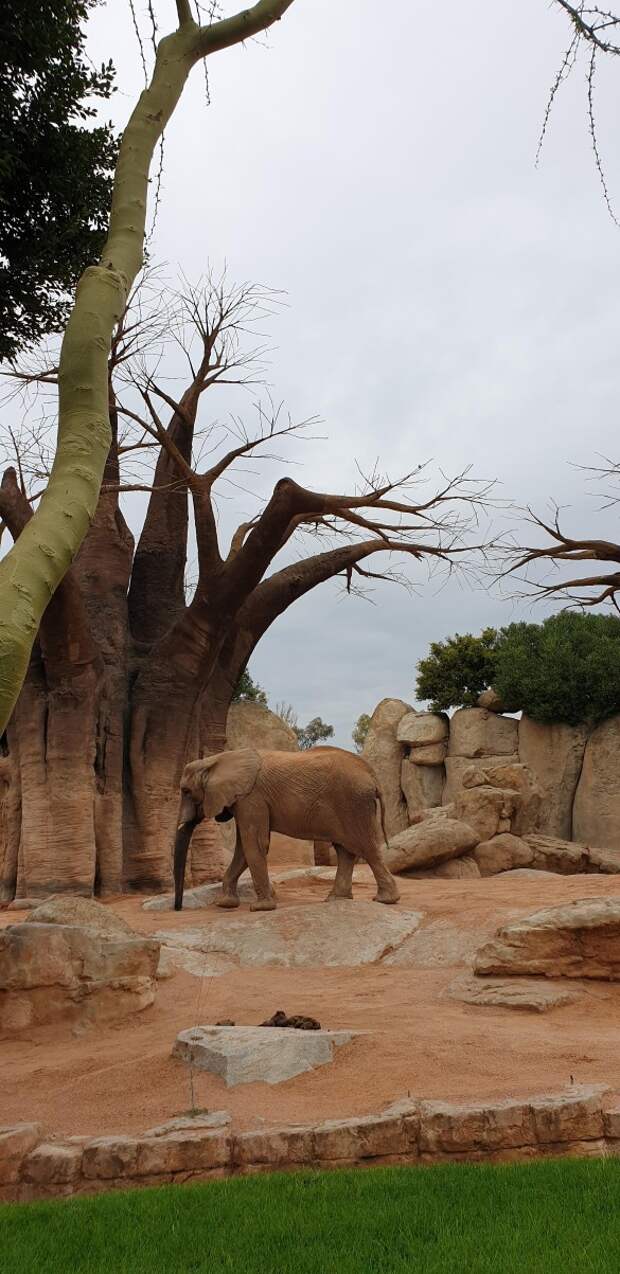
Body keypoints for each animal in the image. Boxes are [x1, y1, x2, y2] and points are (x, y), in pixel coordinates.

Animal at [171, 744, 399, 917]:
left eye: (186, 791)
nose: (177, 909)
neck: (216, 760)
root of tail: (373, 776)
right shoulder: (244, 800)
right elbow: (244, 848)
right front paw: (225, 904)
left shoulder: (252, 798)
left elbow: (254, 844)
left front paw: (260, 908)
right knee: (345, 851)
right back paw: (335, 899)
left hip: (353, 804)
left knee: (367, 848)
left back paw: (385, 900)